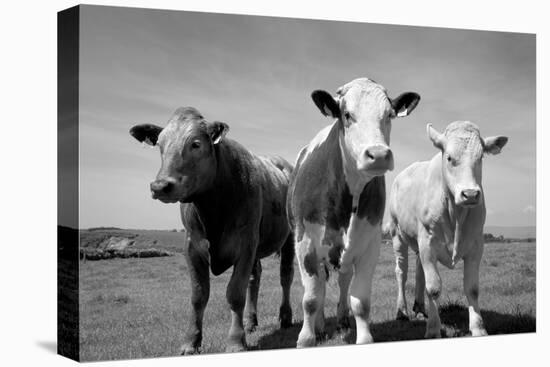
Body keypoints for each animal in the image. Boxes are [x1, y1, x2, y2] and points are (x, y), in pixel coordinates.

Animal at [130, 108, 296, 356]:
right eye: (160, 144)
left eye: (196, 144)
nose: (160, 186)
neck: (212, 209)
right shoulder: (192, 246)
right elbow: (199, 295)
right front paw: (191, 341)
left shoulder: (246, 243)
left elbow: (234, 293)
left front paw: (236, 342)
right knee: (255, 278)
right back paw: (250, 322)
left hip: (289, 238)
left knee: (285, 276)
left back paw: (285, 317)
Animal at [288, 78, 422, 348]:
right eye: (347, 115)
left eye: (389, 114)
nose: (378, 155)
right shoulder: (304, 243)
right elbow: (310, 299)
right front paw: (306, 338)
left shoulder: (369, 245)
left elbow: (360, 301)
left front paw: (363, 337)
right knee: (320, 287)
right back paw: (319, 327)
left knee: (342, 281)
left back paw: (341, 321)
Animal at [388, 121, 508, 340]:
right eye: (450, 157)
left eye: (480, 157)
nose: (470, 194)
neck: (455, 214)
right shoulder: (428, 244)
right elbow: (434, 288)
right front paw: (433, 330)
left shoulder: (476, 245)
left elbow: (472, 288)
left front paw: (478, 328)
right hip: (397, 235)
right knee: (401, 272)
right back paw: (402, 311)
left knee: (419, 271)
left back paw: (420, 308)